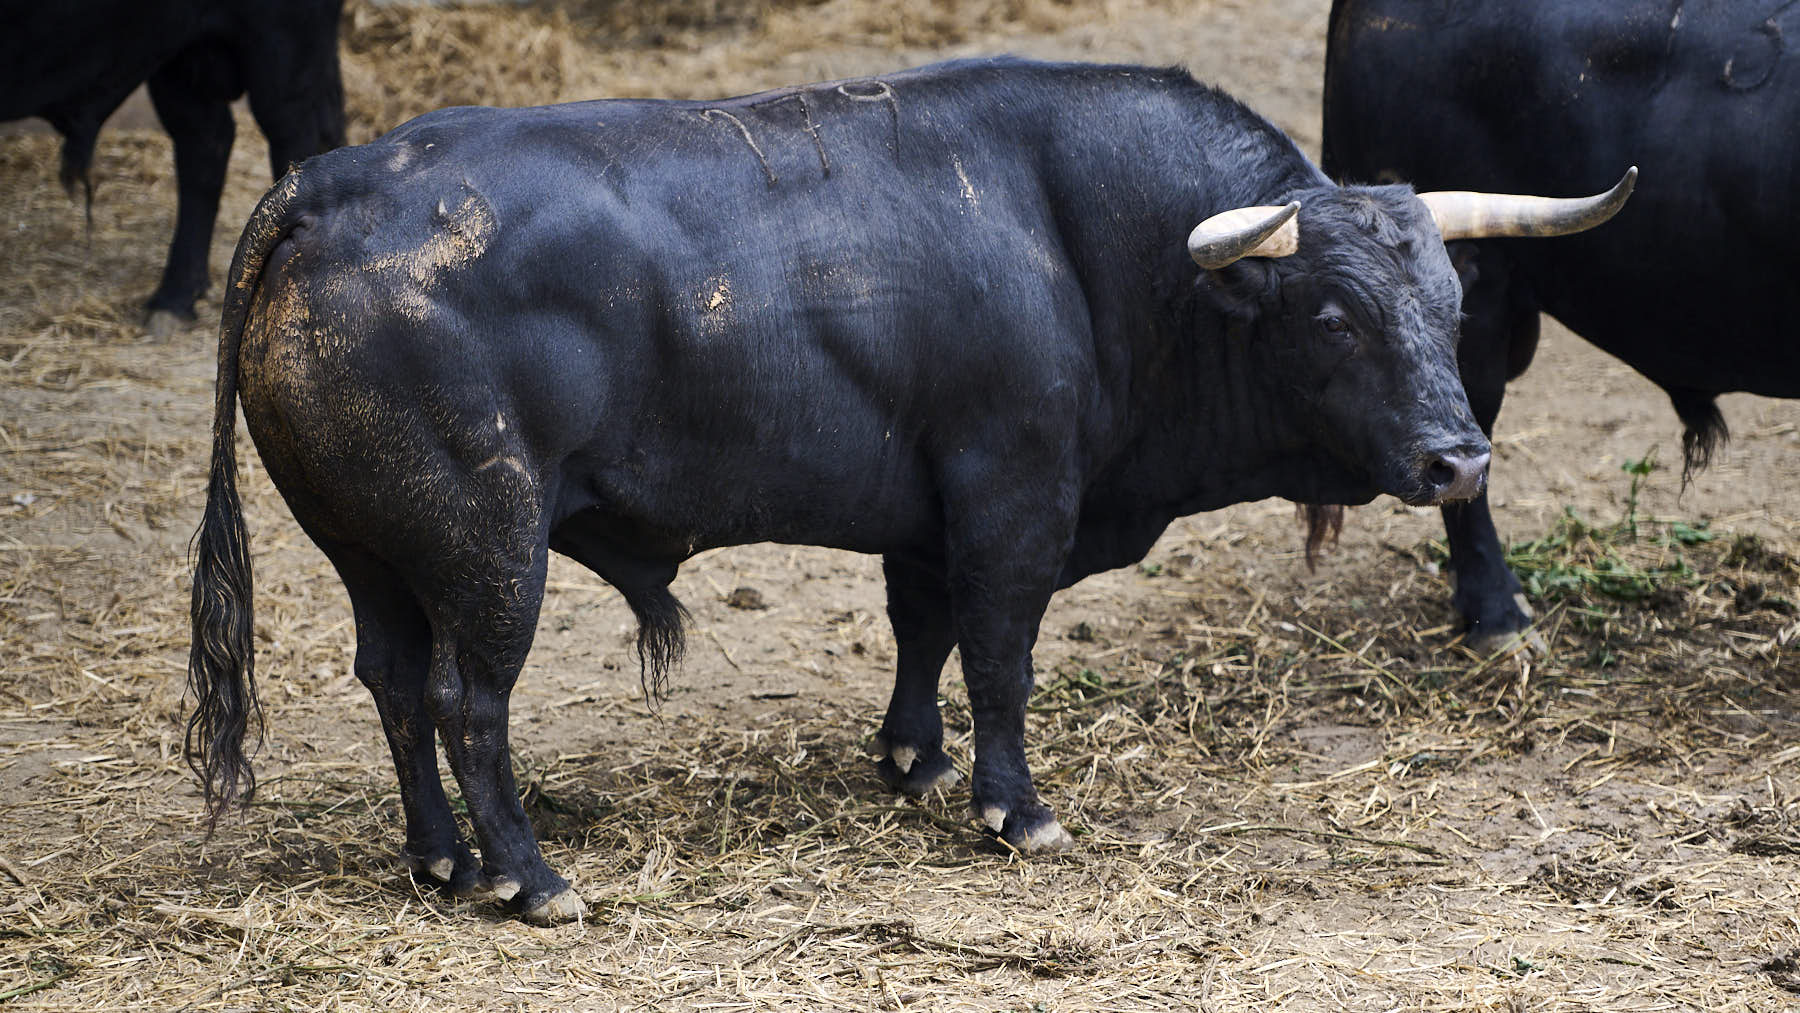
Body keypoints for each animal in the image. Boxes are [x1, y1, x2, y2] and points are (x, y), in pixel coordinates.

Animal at [182, 55, 1634, 921]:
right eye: (1332, 312)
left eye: (1448, 303)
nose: (1459, 459)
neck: (1096, 248)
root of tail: (325, 190)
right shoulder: (1013, 501)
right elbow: (999, 653)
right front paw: (1015, 804)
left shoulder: (929, 515)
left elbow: (923, 631)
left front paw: (915, 760)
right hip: (490, 552)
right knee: (464, 703)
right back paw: (529, 876)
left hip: (379, 555)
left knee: (390, 681)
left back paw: (436, 854)